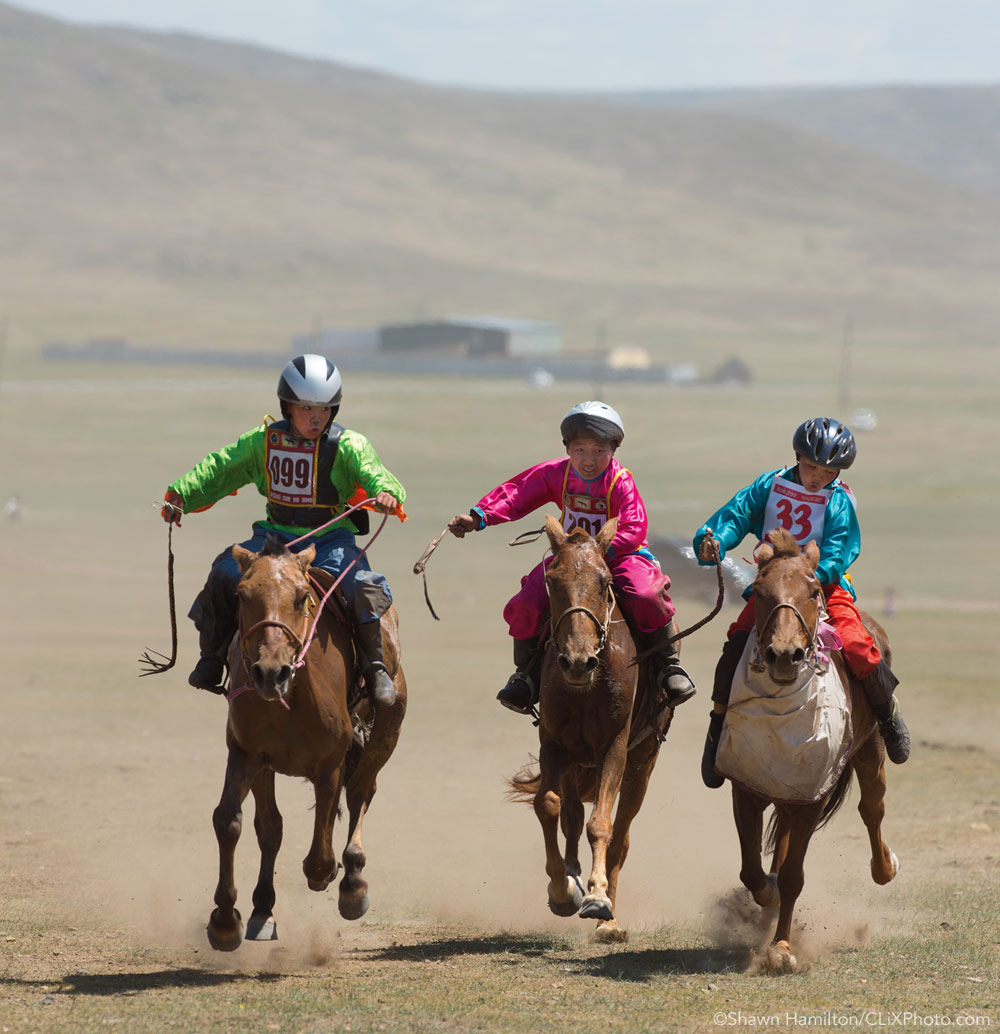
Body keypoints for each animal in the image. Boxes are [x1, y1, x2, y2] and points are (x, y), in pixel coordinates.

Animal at [206, 541, 407, 951]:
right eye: (241, 596)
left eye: (302, 598)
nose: (270, 672)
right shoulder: (249, 755)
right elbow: (233, 821)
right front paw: (227, 920)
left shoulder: (329, 763)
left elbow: (319, 858)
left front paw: (331, 877)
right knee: (274, 826)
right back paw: (263, 909)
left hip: (386, 732)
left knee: (360, 793)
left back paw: (353, 884)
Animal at [512, 512, 678, 943]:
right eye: (552, 582)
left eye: (605, 581)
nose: (577, 660)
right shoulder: (554, 743)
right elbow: (549, 805)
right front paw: (562, 888)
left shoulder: (614, 748)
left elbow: (601, 825)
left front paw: (597, 897)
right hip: (576, 761)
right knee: (570, 812)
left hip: (642, 763)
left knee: (621, 836)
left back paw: (609, 921)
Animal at [719, 529, 897, 971]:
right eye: (758, 591)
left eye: (814, 590)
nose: (784, 655)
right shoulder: (747, 788)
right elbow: (753, 872)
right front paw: (765, 899)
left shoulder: (811, 798)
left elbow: (792, 877)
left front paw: (781, 948)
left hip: (870, 749)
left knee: (872, 808)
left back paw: (885, 867)